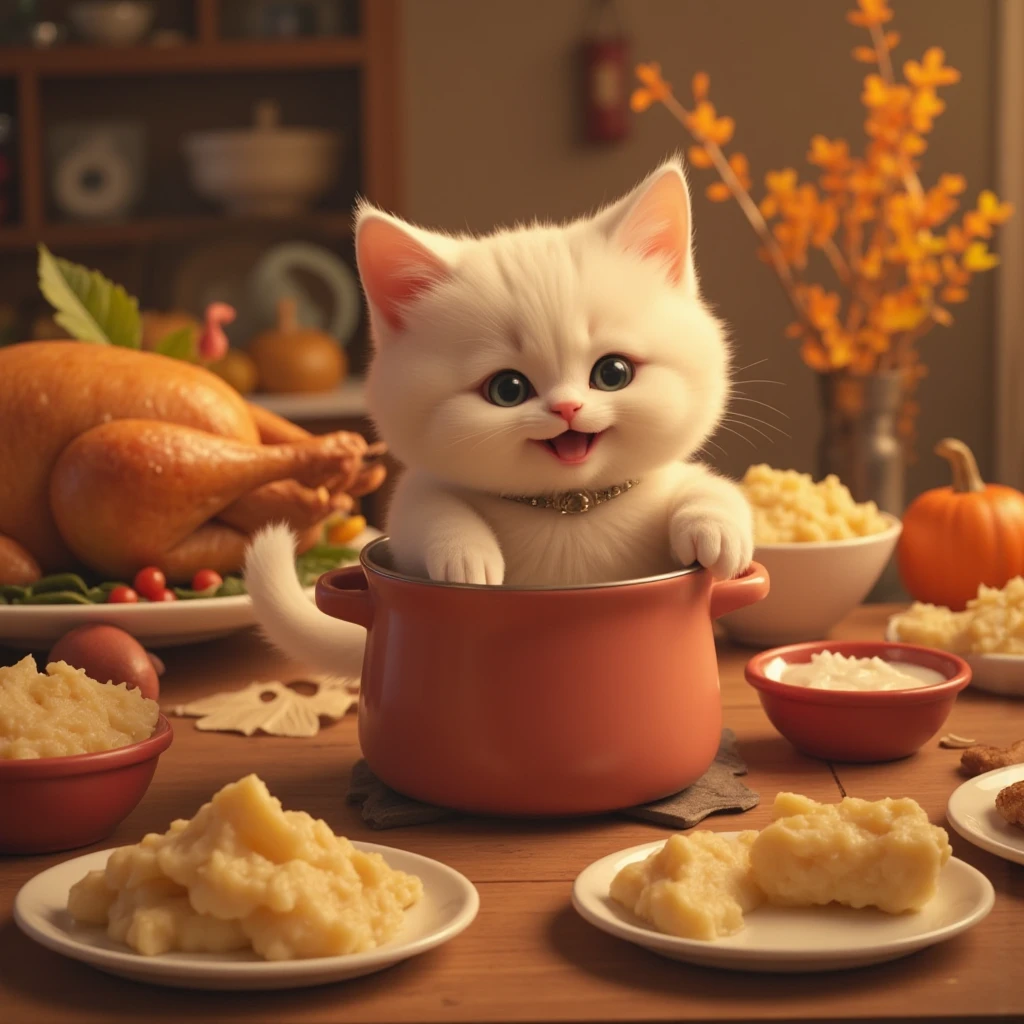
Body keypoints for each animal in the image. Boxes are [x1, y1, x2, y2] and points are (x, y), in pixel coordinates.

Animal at [239, 157, 753, 679]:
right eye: (508, 389)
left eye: (613, 372)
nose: (567, 408)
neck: (568, 509)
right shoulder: (408, 518)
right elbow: (425, 510)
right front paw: (466, 554)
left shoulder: (664, 480)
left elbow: (711, 487)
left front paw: (716, 529)